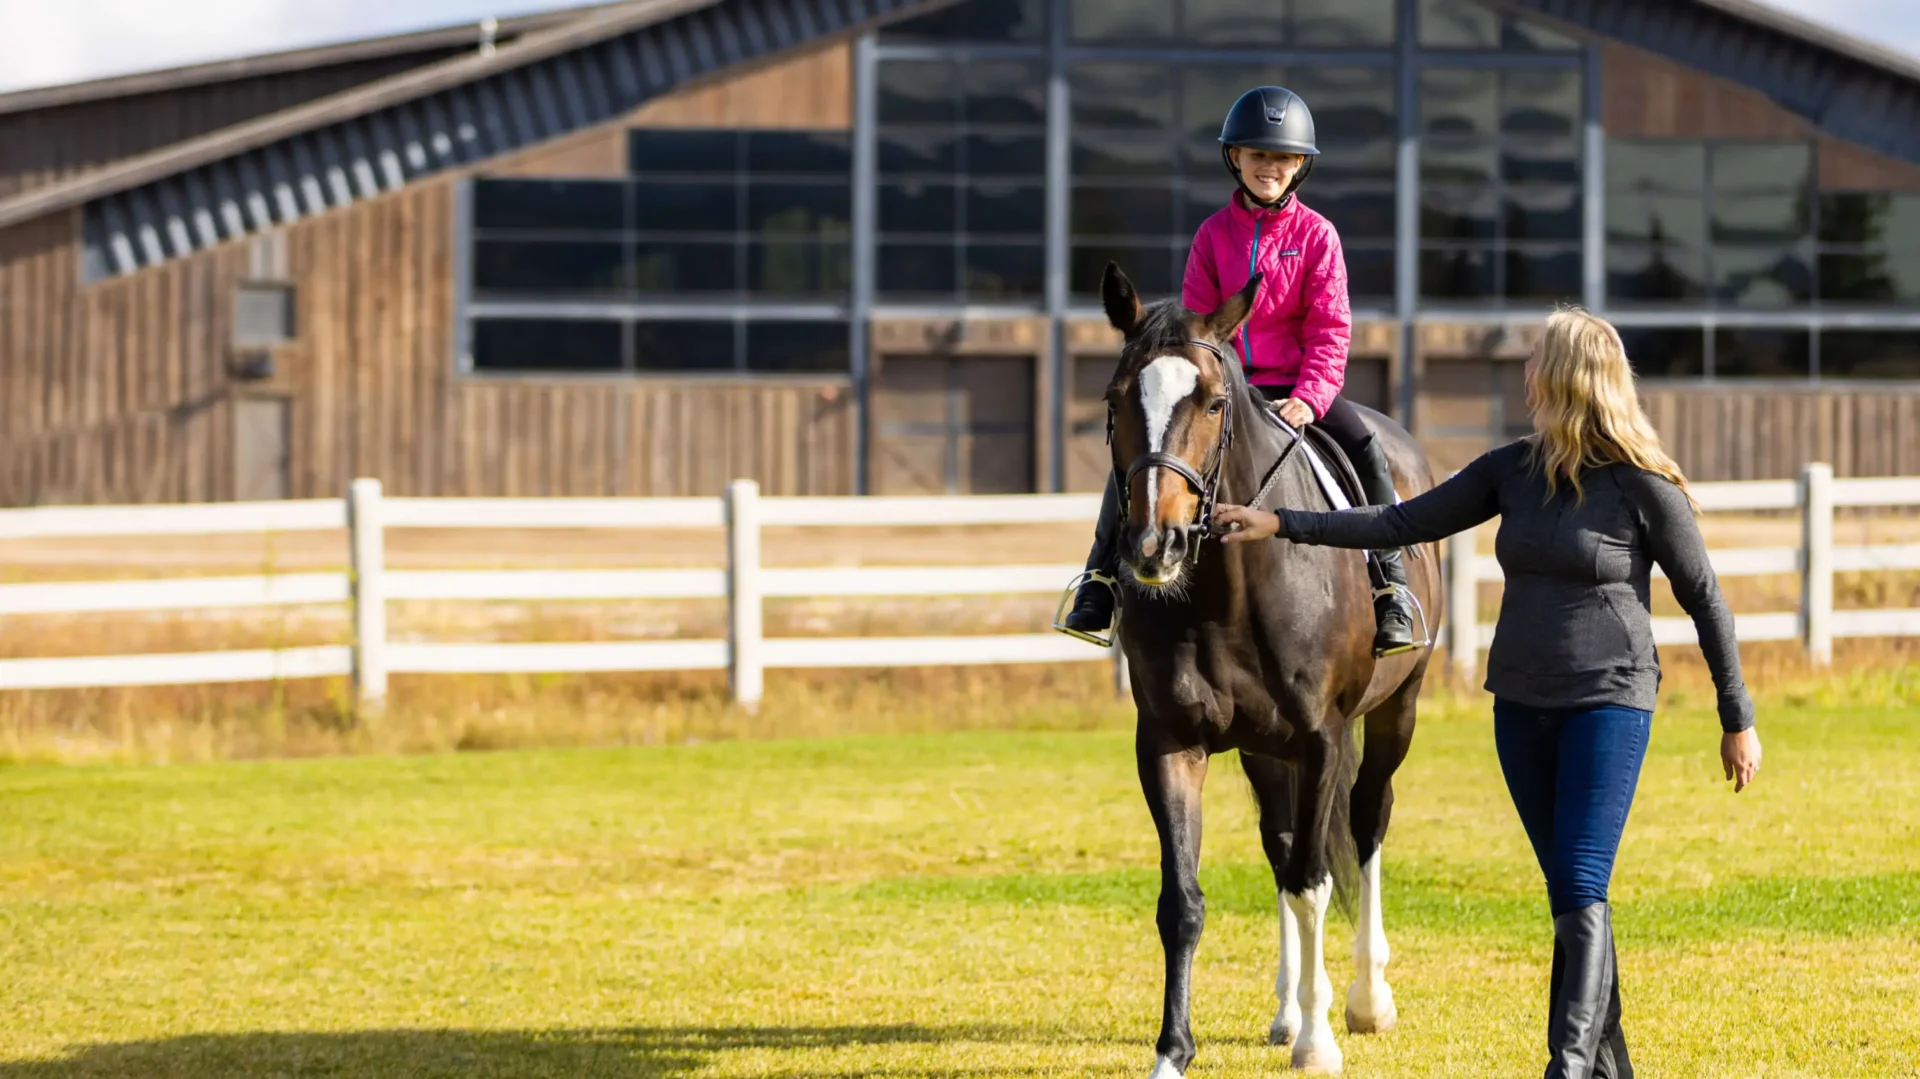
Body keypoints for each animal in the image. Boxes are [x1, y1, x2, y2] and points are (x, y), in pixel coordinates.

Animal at [1098, 264, 1443, 1067]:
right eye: (1115, 398)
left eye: (1213, 401)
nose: (1154, 545)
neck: (1227, 592)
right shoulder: (1169, 743)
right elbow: (1184, 901)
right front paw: (1172, 1052)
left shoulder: (1321, 741)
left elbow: (1313, 883)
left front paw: (1319, 1044)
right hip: (1263, 748)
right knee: (1281, 847)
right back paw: (1288, 1008)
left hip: (1397, 711)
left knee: (1367, 822)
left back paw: (1365, 1000)